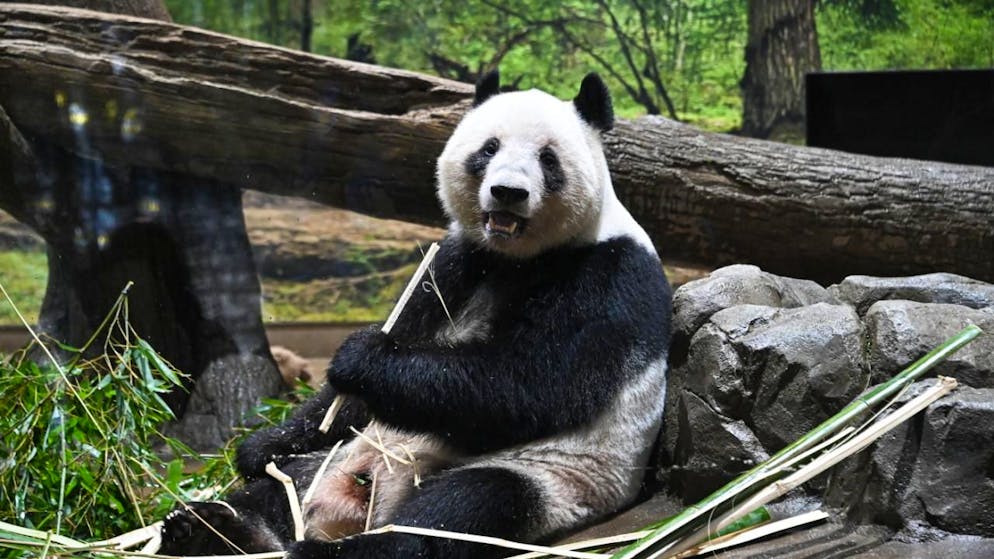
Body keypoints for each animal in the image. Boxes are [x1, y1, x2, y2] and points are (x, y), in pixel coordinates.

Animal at [159, 71, 672, 559]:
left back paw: (336, 551)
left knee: (461, 509)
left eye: (548, 158)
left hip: (553, 479)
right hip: (336, 459)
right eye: (489, 148)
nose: (507, 192)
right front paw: (259, 447)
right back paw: (213, 531)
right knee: (280, 491)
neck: (518, 258)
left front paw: (361, 357)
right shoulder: (456, 262)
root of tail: (358, 505)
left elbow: (531, 384)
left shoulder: (606, 276)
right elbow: (354, 396)